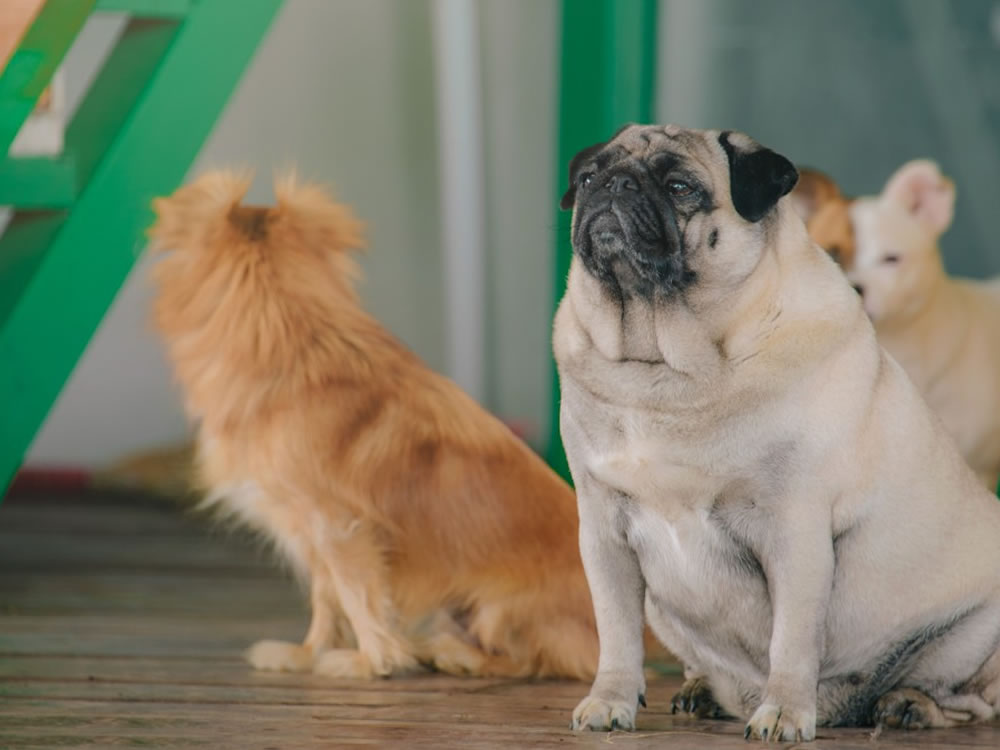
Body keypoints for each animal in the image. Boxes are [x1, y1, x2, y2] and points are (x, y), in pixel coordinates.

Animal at [147, 175, 596, 680]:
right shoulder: (313, 536)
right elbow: (326, 601)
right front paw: (307, 653)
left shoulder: (338, 529)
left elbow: (358, 597)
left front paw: (369, 662)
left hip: (499, 608)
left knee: (530, 662)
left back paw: (454, 655)